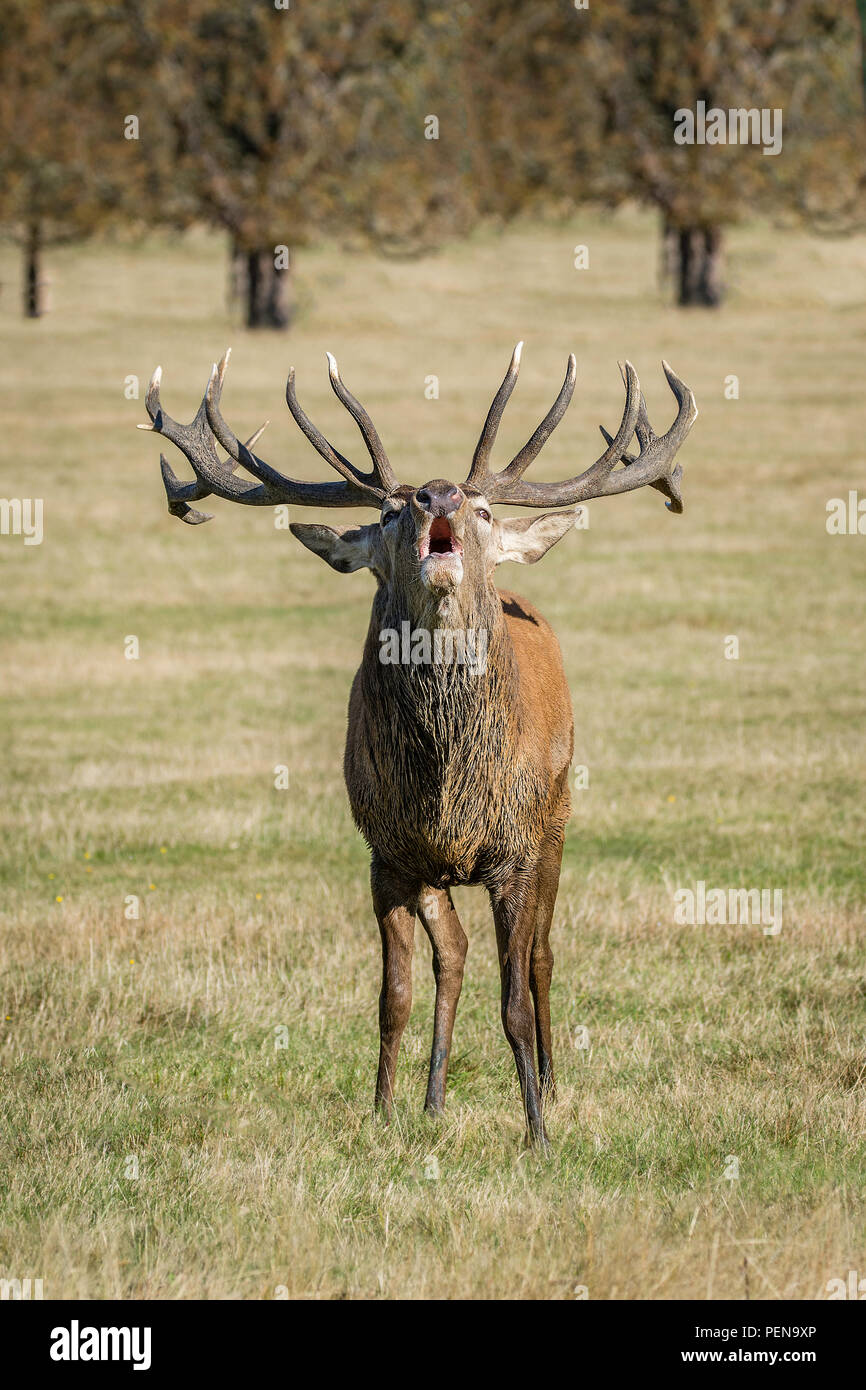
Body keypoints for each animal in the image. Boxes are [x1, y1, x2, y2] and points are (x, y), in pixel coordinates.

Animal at [140, 343, 696, 1147]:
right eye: (388, 511)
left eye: (485, 508)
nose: (439, 496)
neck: (448, 783)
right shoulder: (388, 853)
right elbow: (393, 995)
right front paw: (381, 1113)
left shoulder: (513, 852)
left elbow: (515, 998)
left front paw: (536, 1132)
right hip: (438, 868)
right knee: (455, 955)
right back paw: (434, 1099)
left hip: (558, 816)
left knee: (543, 954)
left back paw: (552, 1083)